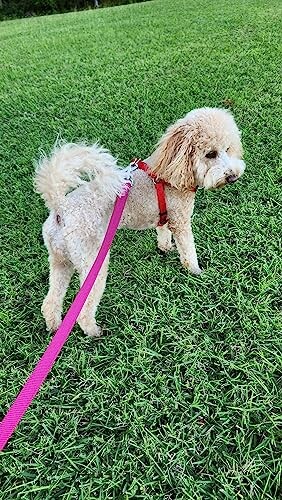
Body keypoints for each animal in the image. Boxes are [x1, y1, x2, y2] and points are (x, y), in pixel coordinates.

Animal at [35, 108, 246, 338]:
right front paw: (196, 272)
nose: (233, 176)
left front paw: (165, 248)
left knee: (51, 301)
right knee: (83, 310)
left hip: (60, 260)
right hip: (92, 262)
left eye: (228, 148)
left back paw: (54, 326)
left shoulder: (165, 217)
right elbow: (189, 251)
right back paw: (94, 331)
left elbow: (163, 233)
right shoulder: (181, 221)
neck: (169, 172)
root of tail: (60, 207)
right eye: (210, 154)